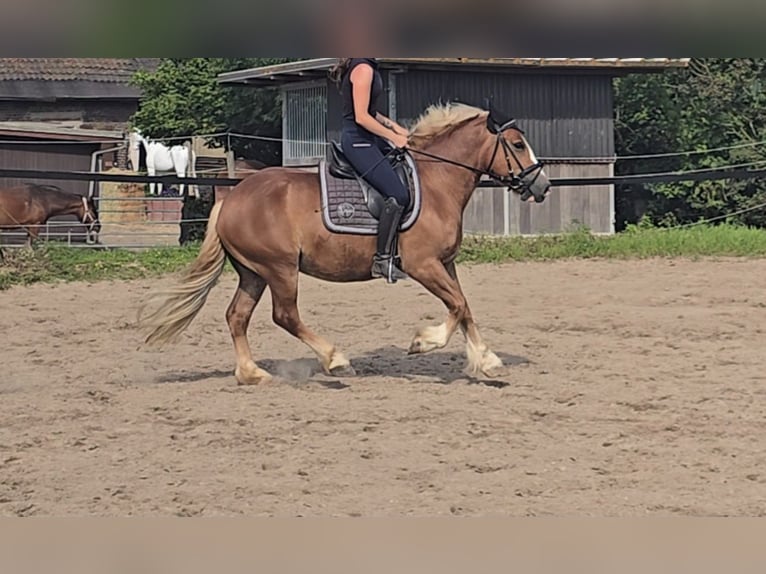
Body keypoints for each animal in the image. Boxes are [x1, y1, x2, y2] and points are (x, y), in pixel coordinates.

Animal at [140, 104, 552, 388]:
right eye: (518, 144)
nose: (542, 185)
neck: (437, 183)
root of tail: (232, 198)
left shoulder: (445, 264)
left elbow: (463, 307)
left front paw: (486, 360)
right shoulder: (423, 265)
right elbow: (458, 306)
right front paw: (424, 342)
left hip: (253, 272)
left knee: (237, 316)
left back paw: (252, 373)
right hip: (279, 269)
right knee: (284, 315)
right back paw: (334, 359)